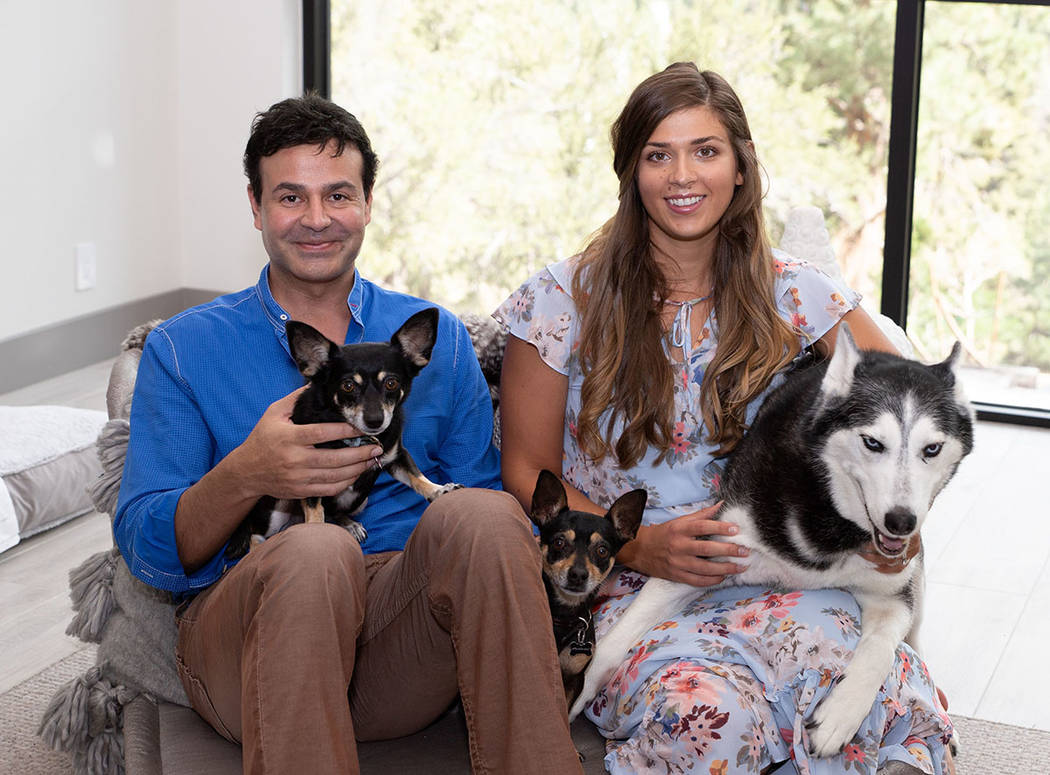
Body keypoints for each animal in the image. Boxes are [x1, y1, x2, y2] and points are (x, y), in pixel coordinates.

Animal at [225, 306, 459, 554]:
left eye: (391, 383)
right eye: (348, 386)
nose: (375, 421)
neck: (357, 437)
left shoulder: (397, 456)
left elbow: (416, 476)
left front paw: (437, 489)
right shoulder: (306, 475)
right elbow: (315, 508)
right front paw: (316, 531)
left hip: (361, 501)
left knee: (335, 512)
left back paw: (348, 524)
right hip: (276, 506)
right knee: (254, 533)